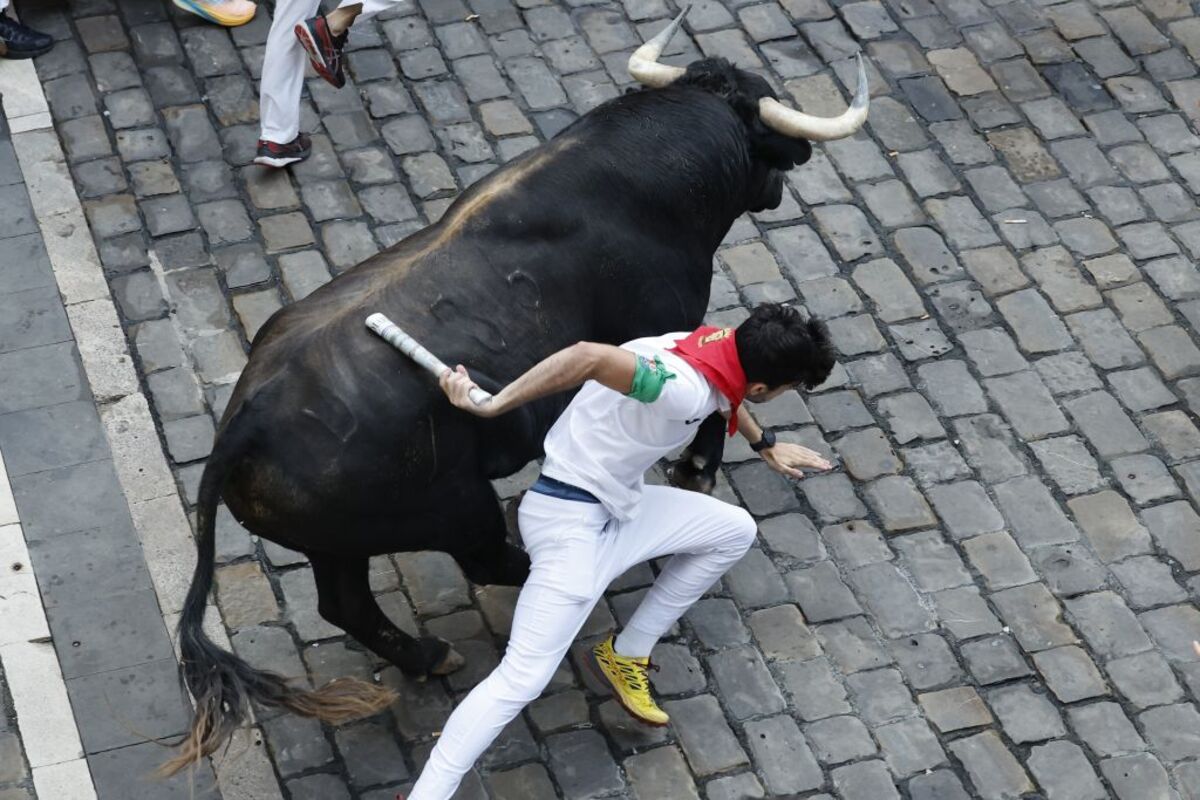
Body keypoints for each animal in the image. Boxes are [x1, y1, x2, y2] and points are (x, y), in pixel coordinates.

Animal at [166, 56, 816, 767]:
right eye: (764, 131)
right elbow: (715, 399)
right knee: (482, 561)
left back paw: (429, 655)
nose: (792, 168)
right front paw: (697, 468)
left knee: (346, 604)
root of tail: (246, 419)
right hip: (452, 507)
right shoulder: (667, 324)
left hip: (337, 542)